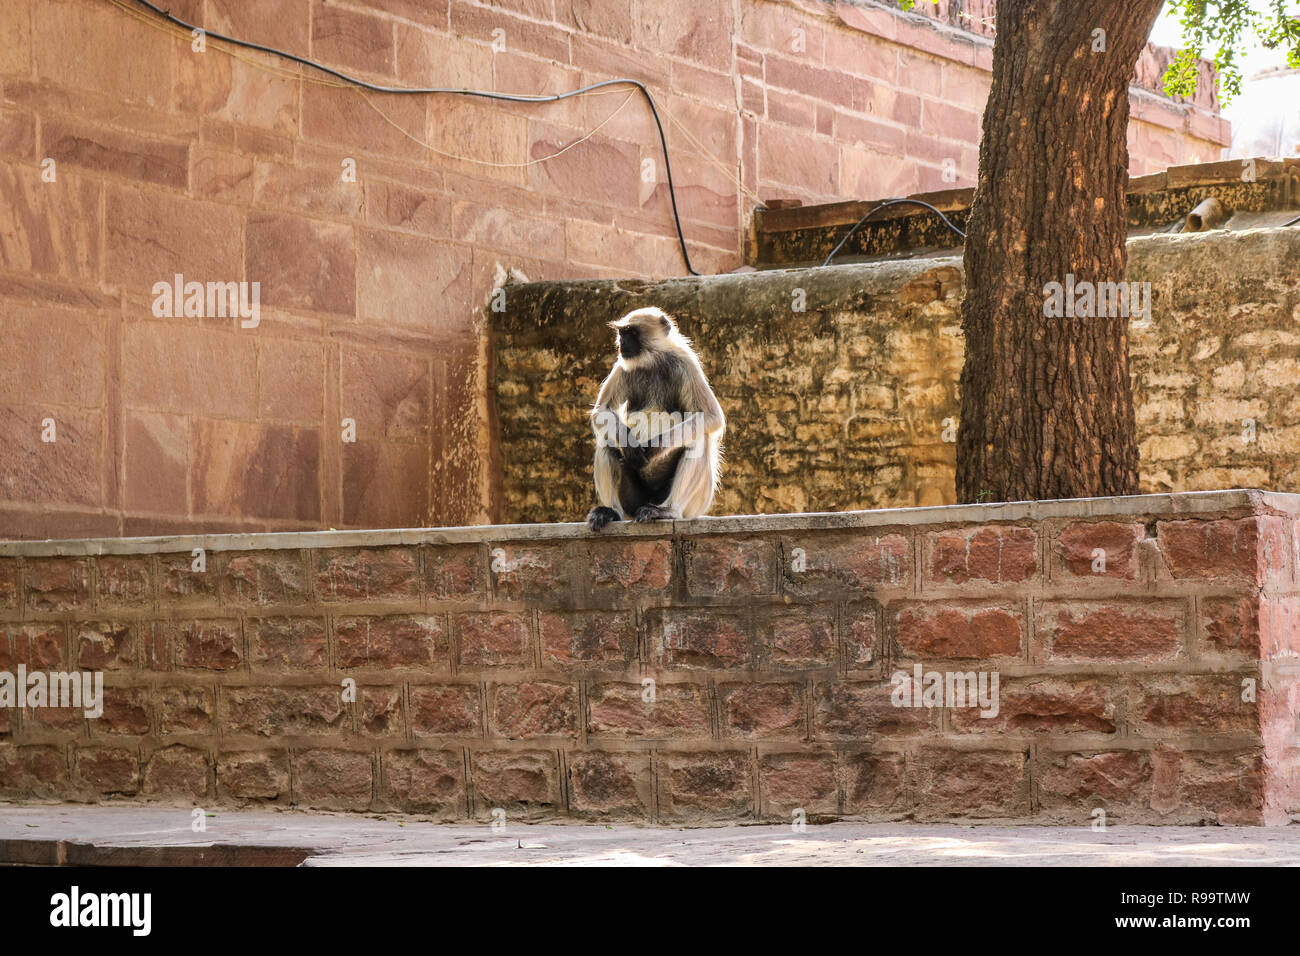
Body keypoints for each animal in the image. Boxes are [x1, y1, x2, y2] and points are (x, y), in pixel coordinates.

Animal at [587, 308, 728, 535]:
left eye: (631, 333)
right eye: (622, 333)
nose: (621, 342)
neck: (652, 361)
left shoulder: (686, 363)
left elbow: (711, 416)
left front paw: (656, 447)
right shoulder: (622, 365)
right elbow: (602, 412)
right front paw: (630, 446)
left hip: (694, 504)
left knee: (698, 439)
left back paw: (668, 510)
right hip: (633, 500)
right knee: (607, 440)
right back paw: (611, 512)